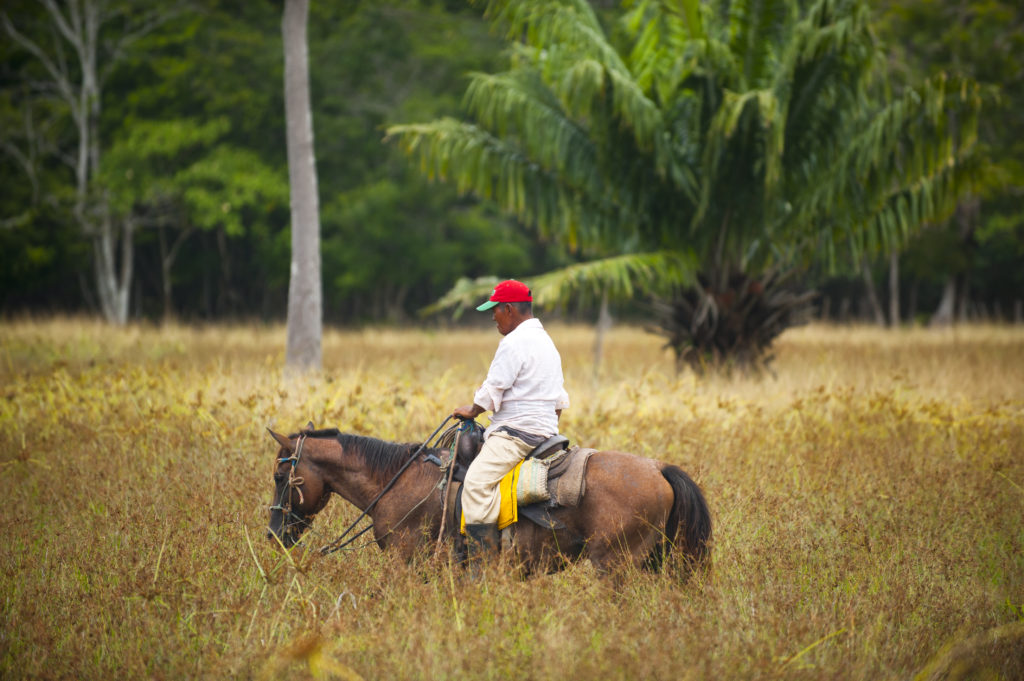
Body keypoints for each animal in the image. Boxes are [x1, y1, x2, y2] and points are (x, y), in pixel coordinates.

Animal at [265, 422, 712, 575]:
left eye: (280, 476)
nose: (273, 535)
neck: (397, 480)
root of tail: (658, 468)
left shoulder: (404, 562)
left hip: (615, 564)